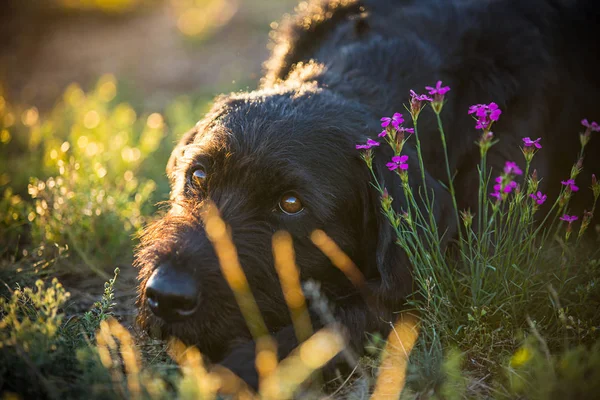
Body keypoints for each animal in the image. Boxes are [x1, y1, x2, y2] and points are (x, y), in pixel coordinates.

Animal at [136, 0, 600, 390]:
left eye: (291, 204)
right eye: (198, 175)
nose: (168, 296)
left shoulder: (441, 279)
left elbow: (336, 324)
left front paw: (234, 372)